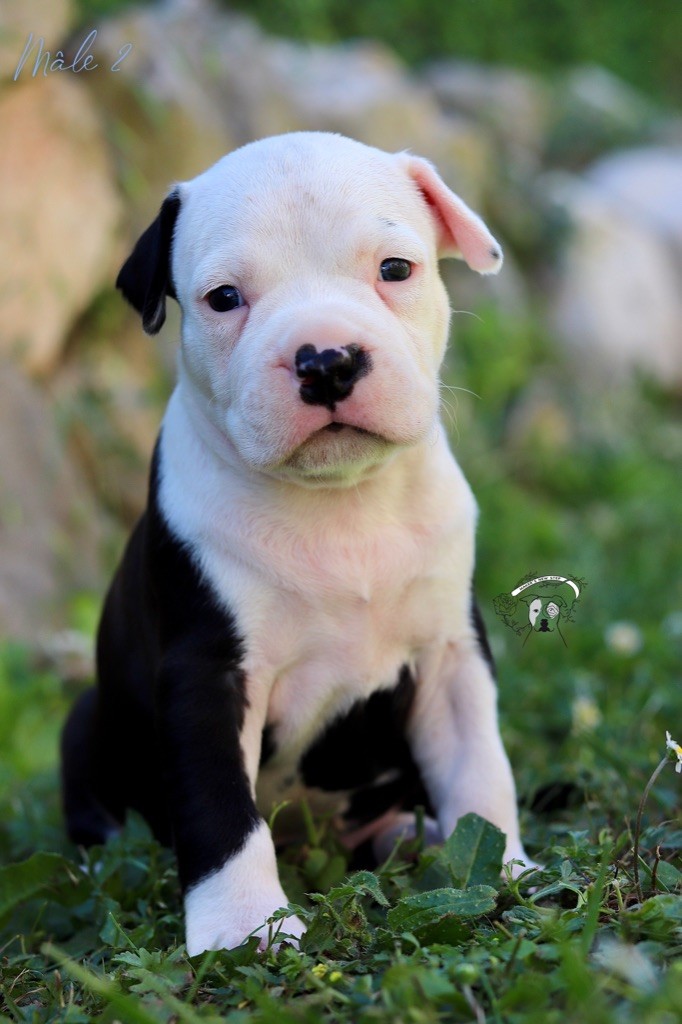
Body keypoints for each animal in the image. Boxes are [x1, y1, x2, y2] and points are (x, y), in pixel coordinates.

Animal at [61, 132, 534, 956]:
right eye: (224, 298)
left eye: (395, 269)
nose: (327, 359)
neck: (341, 506)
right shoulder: (207, 675)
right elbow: (222, 810)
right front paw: (245, 928)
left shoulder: (451, 655)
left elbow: (480, 769)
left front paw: (504, 868)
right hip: (90, 721)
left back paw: (411, 836)